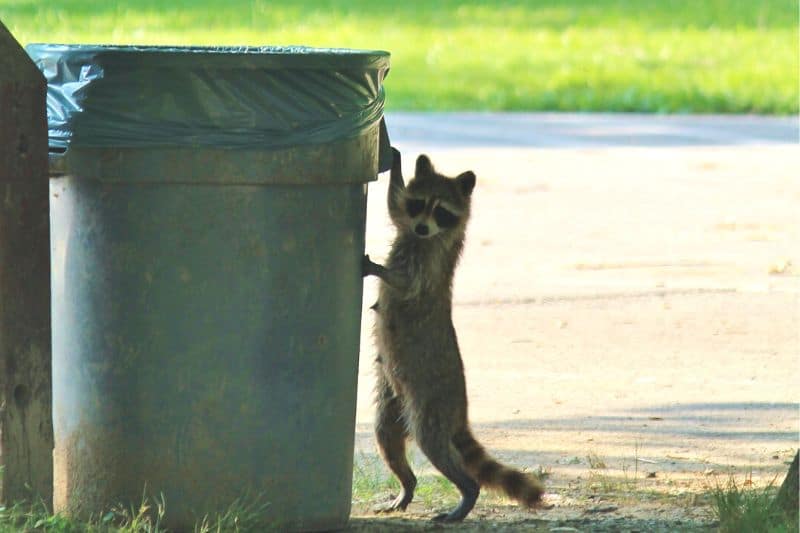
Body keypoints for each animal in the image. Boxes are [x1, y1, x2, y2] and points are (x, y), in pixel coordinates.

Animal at [362, 149, 544, 520]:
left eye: (441, 211)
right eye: (420, 204)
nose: (421, 226)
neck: (424, 237)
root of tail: (460, 412)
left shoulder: (430, 261)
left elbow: (406, 283)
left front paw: (379, 269)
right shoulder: (408, 226)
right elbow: (394, 205)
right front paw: (398, 162)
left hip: (431, 401)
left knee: (433, 443)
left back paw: (467, 492)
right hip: (393, 397)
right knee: (386, 435)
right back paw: (408, 483)